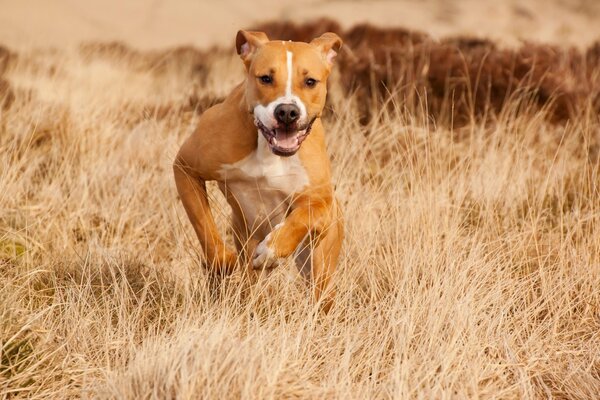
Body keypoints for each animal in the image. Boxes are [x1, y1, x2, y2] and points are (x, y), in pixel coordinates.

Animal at [173, 29, 342, 310]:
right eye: (265, 78)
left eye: (310, 81)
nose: (287, 112)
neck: (269, 150)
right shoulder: (185, 167)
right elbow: (204, 225)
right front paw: (223, 261)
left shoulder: (322, 201)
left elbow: (304, 216)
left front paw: (272, 250)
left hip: (320, 264)